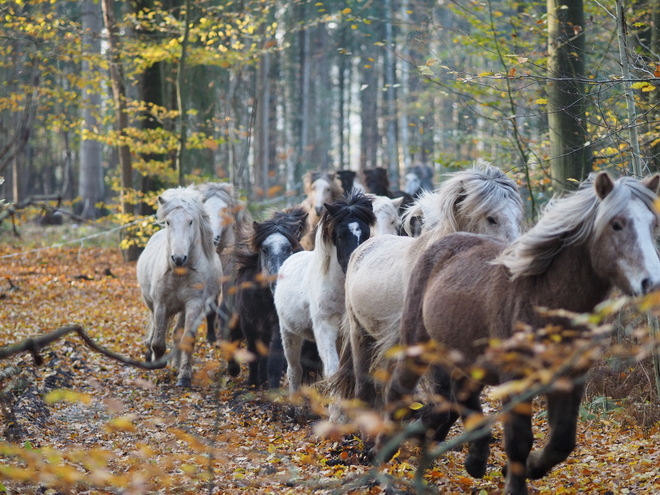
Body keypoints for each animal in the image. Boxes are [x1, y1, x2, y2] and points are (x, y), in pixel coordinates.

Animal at [232, 207, 310, 390]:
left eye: (289, 249)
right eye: (264, 249)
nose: (276, 284)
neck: (263, 299)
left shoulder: (278, 325)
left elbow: (274, 360)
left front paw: (272, 388)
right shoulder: (248, 324)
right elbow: (252, 353)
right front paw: (252, 383)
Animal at [274, 193, 376, 392]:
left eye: (366, 233)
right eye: (340, 235)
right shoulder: (324, 327)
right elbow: (331, 372)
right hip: (288, 332)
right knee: (294, 370)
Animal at [382, 172, 660, 494]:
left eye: (652, 224)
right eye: (616, 224)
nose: (650, 282)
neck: (543, 296)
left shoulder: (569, 378)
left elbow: (562, 441)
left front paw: (528, 468)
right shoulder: (515, 378)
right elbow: (519, 441)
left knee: (462, 394)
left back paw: (475, 461)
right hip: (417, 345)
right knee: (398, 390)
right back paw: (382, 453)